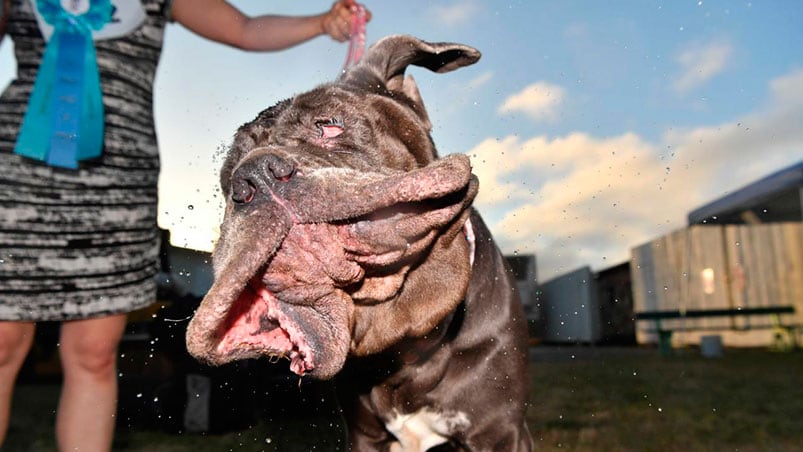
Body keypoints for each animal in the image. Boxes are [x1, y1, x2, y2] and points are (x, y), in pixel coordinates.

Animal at [188, 33, 532, 450]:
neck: (403, 337)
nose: (253, 176)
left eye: (330, 127)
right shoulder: (364, 434)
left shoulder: (501, 431)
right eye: (226, 181)